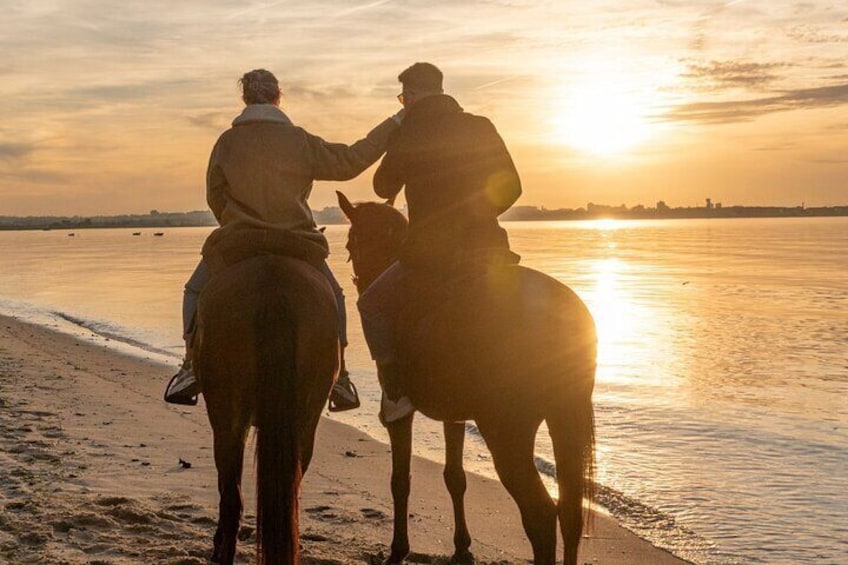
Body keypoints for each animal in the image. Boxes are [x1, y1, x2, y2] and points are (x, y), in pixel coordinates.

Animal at [336, 192, 596, 560]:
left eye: (350, 241)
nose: (361, 281)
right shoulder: (454, 414)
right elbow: (454, 477)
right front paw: (461, 548)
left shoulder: (397, 409)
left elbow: (400, 480)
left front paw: (398, 550)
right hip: (564, 418)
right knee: (570, 513)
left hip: (508, 430)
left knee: (542, 514)